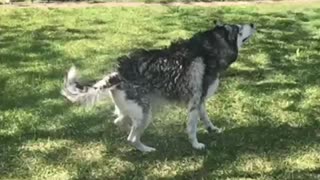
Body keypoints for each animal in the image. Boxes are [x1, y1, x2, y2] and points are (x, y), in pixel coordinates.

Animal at [62, 22, 255, 152]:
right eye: (238, 29)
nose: (252, 24)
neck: (207, 49)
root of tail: (117, 74)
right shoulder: (194, 103)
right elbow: (192, 128)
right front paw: (196, 144)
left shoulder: (200, 101)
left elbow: (206, 118)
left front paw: (212, 129)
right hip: (146, 114)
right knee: (131, 138)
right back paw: (145, 149)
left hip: (135, 111)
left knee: (120, 122)